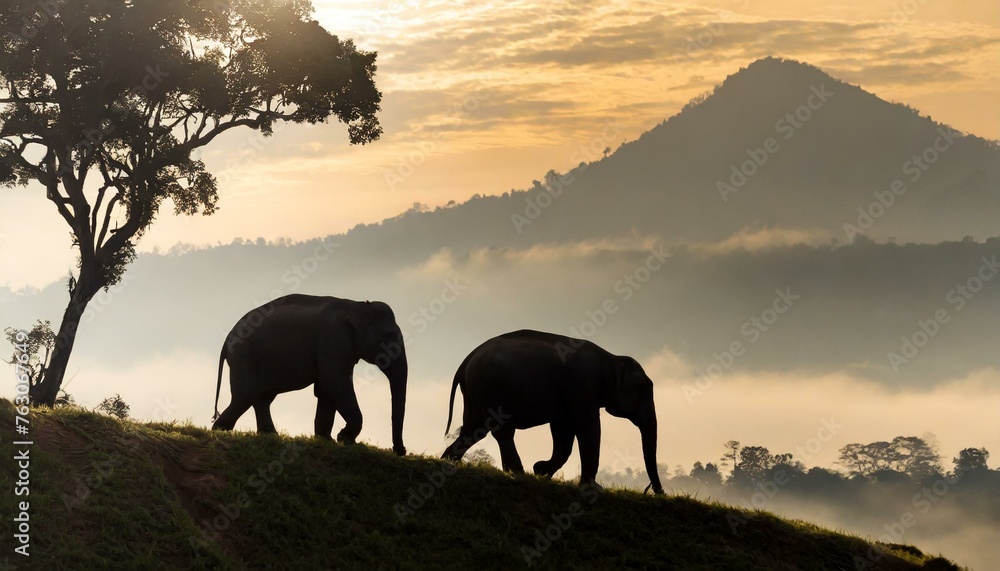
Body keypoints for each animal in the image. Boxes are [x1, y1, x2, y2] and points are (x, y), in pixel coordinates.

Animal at [211, 294, 408, 456]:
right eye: (389, 335)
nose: (400, 451)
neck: (356, 305)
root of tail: (226, 341)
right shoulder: (333, 340)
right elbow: (334, 384)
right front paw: (343, 439)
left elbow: (326, 390)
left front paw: (326, 440)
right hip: (244, 359)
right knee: (244, 397)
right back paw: (219, 431)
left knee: (261, 399)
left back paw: (269, 435)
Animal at [441, 329, 663, 494]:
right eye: (643, 388)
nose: (657, 492)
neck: (611, 358)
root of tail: (467, 359)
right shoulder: (582, 387)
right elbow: (588, 427)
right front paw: (593, 488)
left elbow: (563, 431)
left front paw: (541, 471)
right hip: (490, 388)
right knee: (501, 431)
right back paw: (519, 474)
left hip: (475, 392)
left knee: (474, 430)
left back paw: (448, 462)